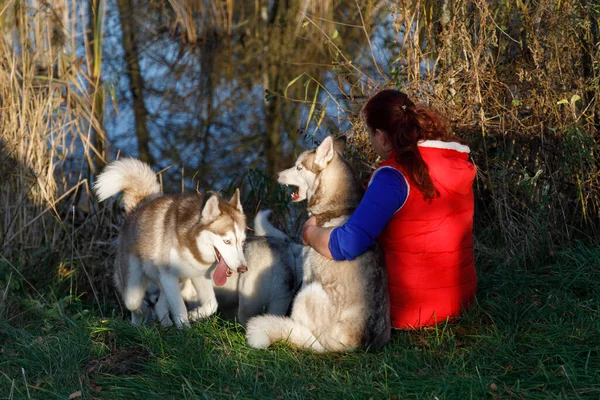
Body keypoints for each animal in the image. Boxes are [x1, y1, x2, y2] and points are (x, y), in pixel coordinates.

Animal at [96, 158, 248, 326]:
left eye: (242, 241)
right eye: (226, 241)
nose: (243, 269)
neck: (191, 245)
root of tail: (138, 207)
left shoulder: (197, 275)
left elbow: (211, 305)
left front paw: (193, 315)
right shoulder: (169, 277)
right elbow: (180, 309)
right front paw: (185, 328)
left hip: (176, 281)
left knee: (159, 306)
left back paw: (164, 324)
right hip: (135, 284)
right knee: (135, 305)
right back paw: (140, 321)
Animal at [246, 136, 392, 352]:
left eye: (298, 167)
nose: (278, 174)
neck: (339, 206)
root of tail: (355, 344)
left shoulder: (308, 272)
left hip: (307, 294)